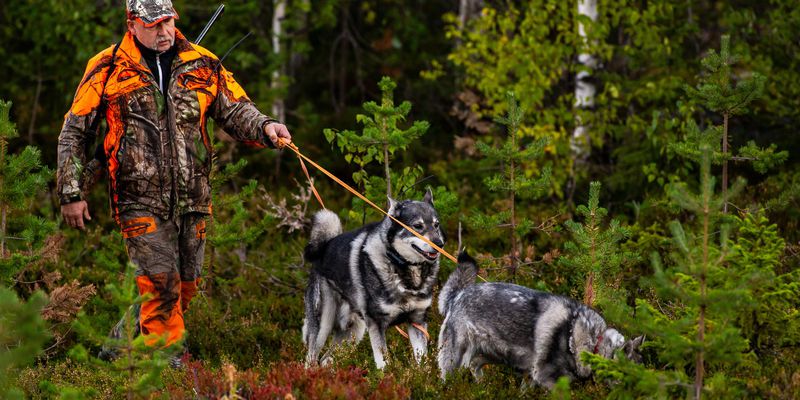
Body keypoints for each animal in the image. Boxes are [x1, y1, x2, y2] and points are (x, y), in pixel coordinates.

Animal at [304, 189, 446, 370]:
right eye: (418, 226)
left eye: (436, 224)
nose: (439, 244)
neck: (401, 268)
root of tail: (324, 247)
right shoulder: (377, 324)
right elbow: (384, 363)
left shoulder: (417, 321)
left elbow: (422, 361)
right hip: (323, 326)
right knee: (310, 359)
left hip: (354, 332)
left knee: (325, 360)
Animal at [438, 253, 644, 388]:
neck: (593, 342)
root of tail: (457, 295)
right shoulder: (546, 378)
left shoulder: (531, 378)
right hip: (456, 362)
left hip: (489, 355)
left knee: (476, 368)